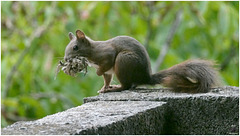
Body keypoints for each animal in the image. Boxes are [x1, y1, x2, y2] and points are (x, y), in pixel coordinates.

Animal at [63, 29, 219, 93]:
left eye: (75, 47)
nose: (65, 59)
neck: (92, 50)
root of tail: (145, 77)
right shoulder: (108, 72)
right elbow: (106, 78)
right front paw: (103, 88)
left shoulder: (107, 54)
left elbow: (105, 66)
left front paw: (98, 74)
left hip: (123, 60)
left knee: (126, 86)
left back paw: (116, 88)